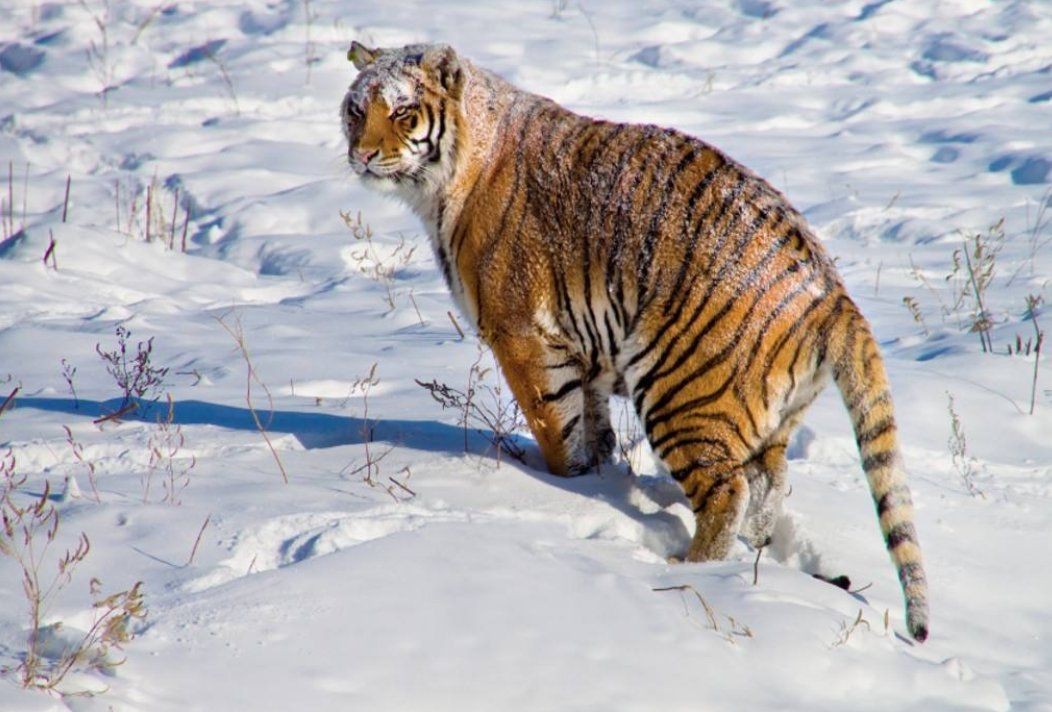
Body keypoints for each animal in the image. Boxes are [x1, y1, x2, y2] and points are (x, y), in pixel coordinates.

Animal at [341, 41, 929, 642]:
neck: (451, 175)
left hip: (679, 390)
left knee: (728, 491)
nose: (361, 155)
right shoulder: (583, 349)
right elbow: (591, 423)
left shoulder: (522, 334)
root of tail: (830, 289)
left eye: (403, 112)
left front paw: (567, 486)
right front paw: (598, 477)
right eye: (356, 110)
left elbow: (556, 431)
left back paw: (690, 569)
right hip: (770, 417)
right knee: (769, 482)